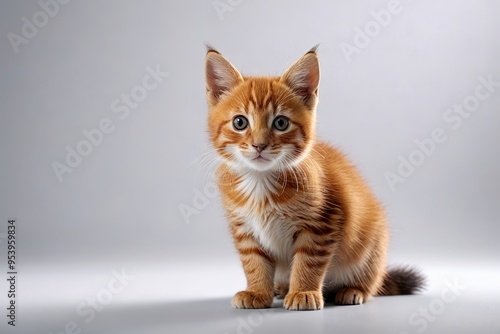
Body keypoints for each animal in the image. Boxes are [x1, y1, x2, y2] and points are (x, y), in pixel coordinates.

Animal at [205, 45, 424, 310]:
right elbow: (254, 262)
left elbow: (308, 262)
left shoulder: (323, 223)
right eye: (240, 122)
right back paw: (281, 287)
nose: (259, 145)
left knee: (372, 281)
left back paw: (353, 290)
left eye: (281, 123)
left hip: (372, 243)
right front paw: (257, 291)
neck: (261, 181)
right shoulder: (244, 229)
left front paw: (304, 291)